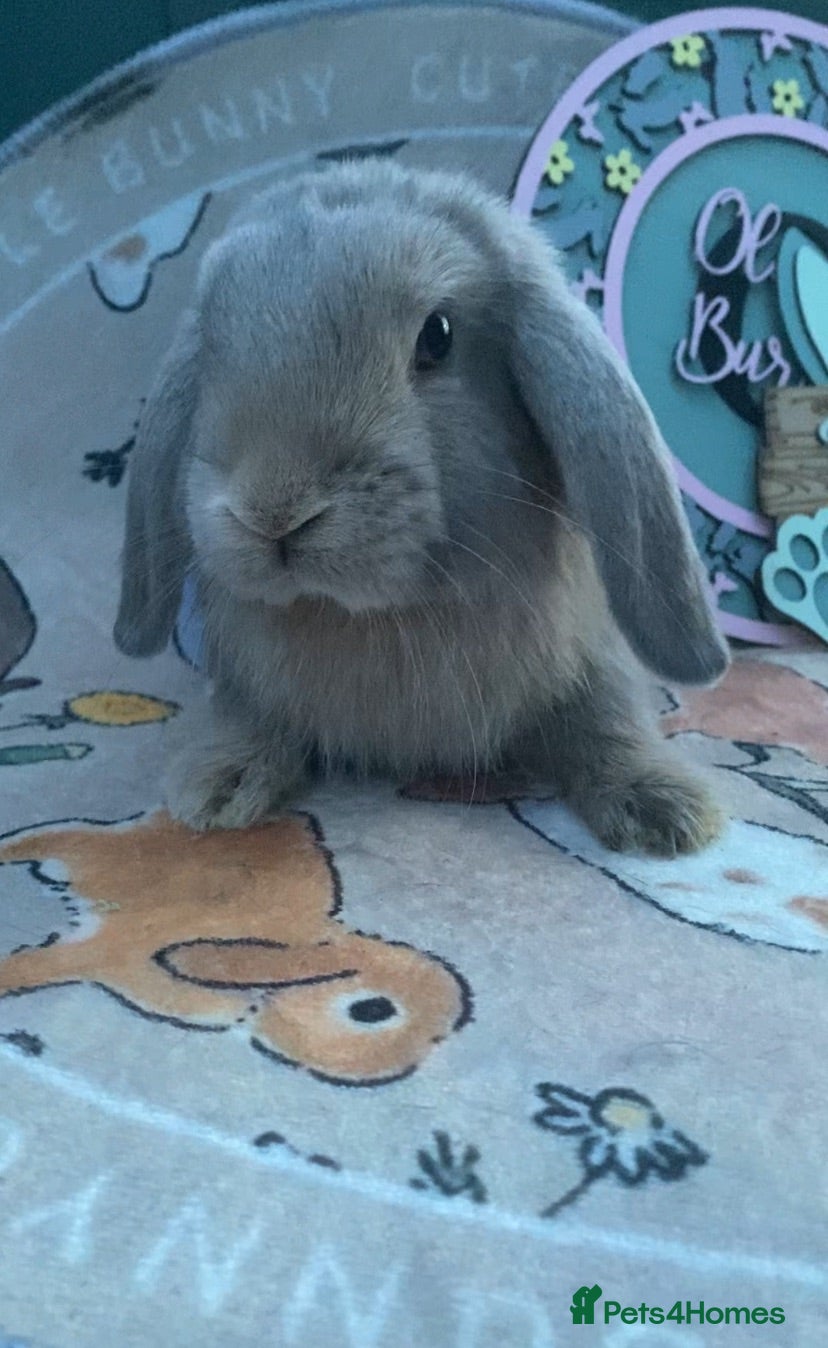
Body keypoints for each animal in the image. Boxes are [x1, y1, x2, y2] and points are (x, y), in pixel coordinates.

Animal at [114, 158, 730, 855]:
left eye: (437, 335)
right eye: (213, 347)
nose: (272, 512)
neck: (382, 618)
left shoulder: (595, 662)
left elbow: (608, 720)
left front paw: (665, 810)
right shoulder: (247, 679)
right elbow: (248, 717)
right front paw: (217, 789)